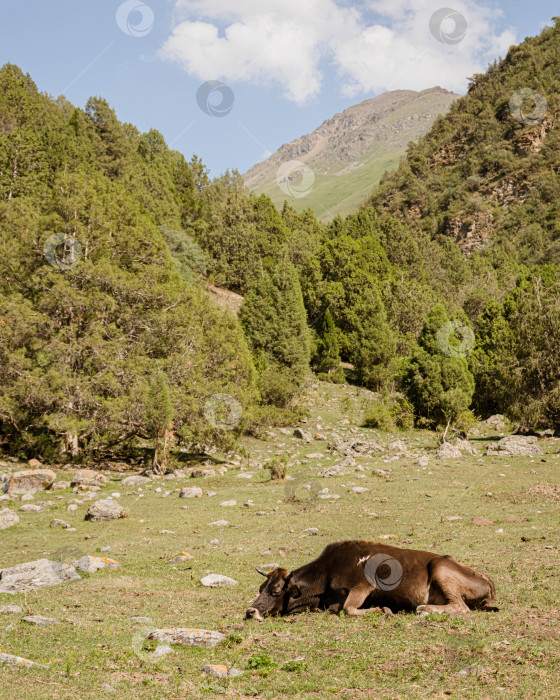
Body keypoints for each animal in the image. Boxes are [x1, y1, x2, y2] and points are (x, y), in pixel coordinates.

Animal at [246, 540, 498, 620]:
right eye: (260, 588)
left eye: (276, 591)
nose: (250, 611)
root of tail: (488, 582)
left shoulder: (363, 586)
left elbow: (348, 609)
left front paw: (383, 609)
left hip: (440, 568)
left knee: (461, 607)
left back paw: (424, 608)